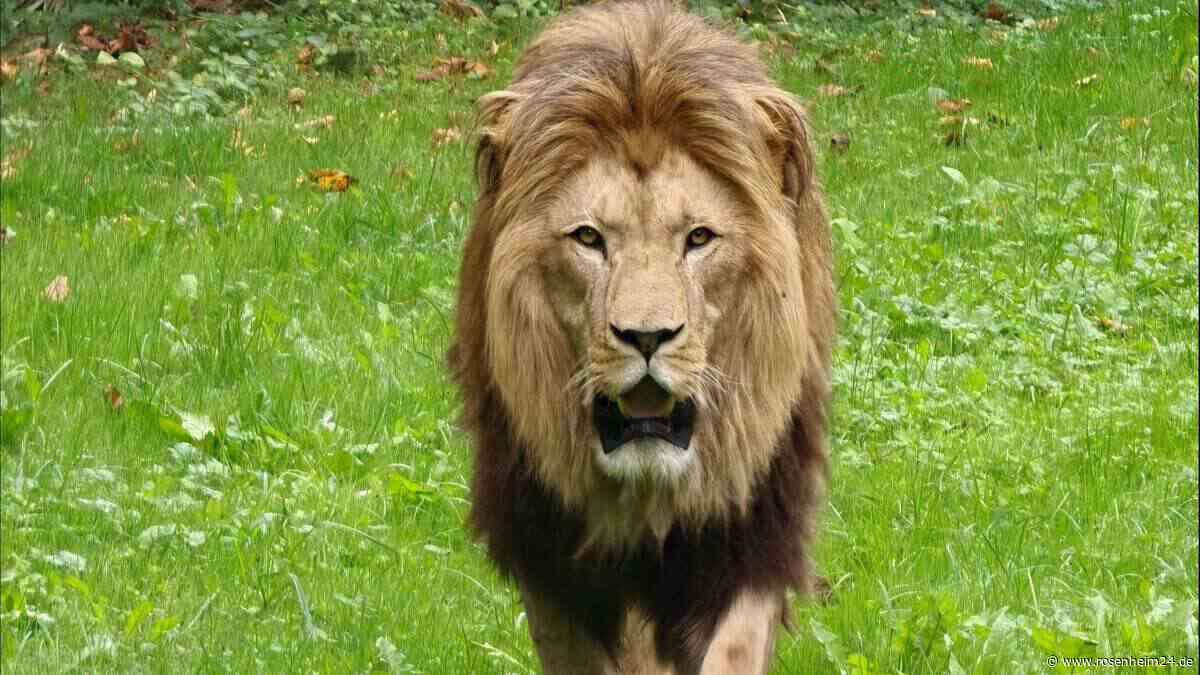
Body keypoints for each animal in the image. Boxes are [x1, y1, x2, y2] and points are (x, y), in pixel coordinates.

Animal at [447, 2, 835, 673]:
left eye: (699, 239)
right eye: (589, 238)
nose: (647, 337)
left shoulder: (750, 539)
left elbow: (733, 648)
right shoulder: (552, 566)